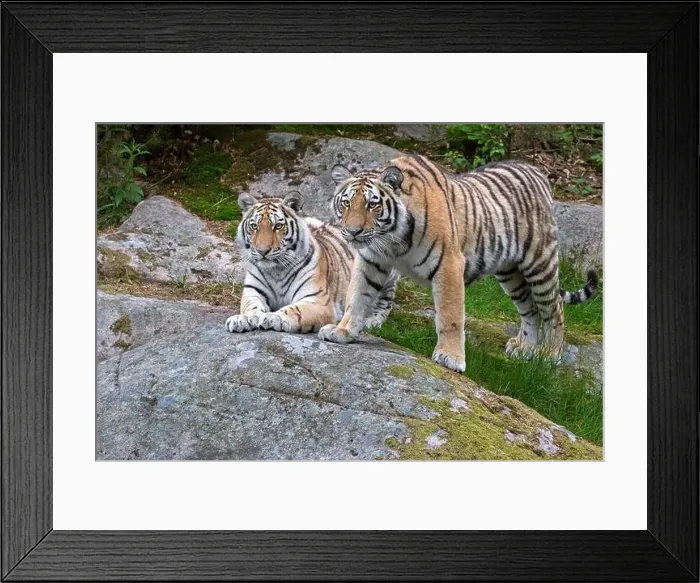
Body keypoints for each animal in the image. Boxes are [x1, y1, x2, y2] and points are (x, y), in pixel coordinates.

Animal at [225, 191, 397, 335]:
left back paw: (371, 321)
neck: (276, 270)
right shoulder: (253, 291)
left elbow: (295, 310)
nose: (262, 251)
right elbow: (251, 307)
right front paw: (242, 319)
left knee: (385, 302)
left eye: (278, 226)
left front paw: (274, 317)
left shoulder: (318, 301)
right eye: (254, 226)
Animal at [318, 154, 598, 373]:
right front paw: (343, 331)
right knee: (530, 309)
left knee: (554, 308)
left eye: (372, 205)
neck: (391, 240)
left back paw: (550, 355)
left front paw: (450, 357)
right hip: (510, 273)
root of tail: (538, 171)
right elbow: (357, 297)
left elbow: (450, 315)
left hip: (539, 263)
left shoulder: (448, 263)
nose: (352, 232)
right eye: (346, 203)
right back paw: (524, 348)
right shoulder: (370, 260)